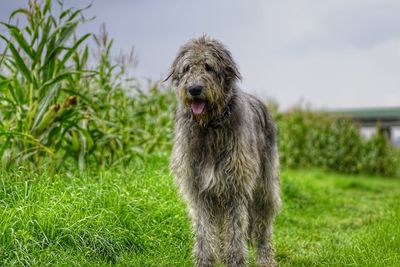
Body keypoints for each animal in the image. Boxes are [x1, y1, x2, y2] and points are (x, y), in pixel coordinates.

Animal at [166, 36, 282, 267]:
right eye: (187, 68)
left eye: (209, 66)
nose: (194, 89)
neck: (210, 126)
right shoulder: (200, 188)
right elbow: (204, 229)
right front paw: (205, 260)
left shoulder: (236, 186)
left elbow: (236, 230)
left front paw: (236, 261)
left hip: (265, 186)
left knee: (263, 225)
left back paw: (265, 258)